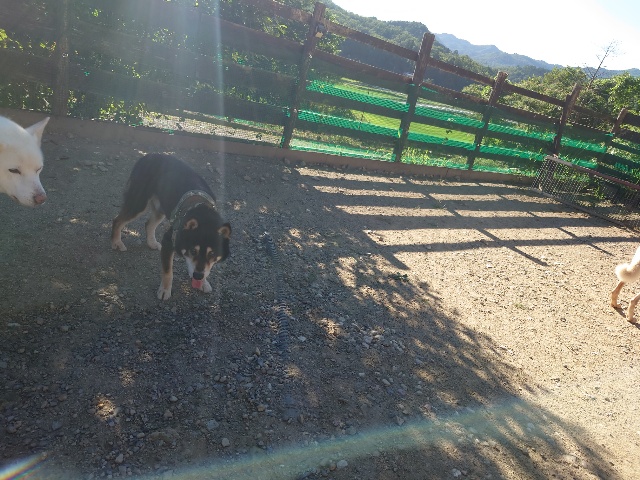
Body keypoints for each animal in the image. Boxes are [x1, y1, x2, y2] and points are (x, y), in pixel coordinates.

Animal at [111, 153, 231, 300]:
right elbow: (168, 272)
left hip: (161, 208)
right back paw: (116, 242)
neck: (202, 211)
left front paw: (203, 282)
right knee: (117, 220)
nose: (198, 276)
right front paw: (164, 290)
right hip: (138, 203)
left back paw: (151, 243)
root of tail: (147, 156)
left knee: (148, 224)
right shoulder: (169, 240)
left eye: (212, 253)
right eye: (193, 251)